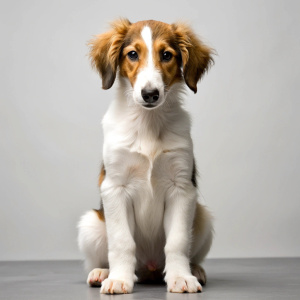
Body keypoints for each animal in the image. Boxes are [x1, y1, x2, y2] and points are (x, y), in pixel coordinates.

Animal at [77, 19, 213, 296]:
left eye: (167, 55)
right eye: (132, 54)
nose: (150, 94)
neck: (148, 123)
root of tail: (149, 269)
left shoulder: (181, 187)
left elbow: (177, 241)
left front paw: (181, 277)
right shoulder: (115, 187)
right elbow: (121, 241)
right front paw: (119, 279)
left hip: (203, 217)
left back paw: (196, 270)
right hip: (90, 224)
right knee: (103, 256)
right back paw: (102, 272)